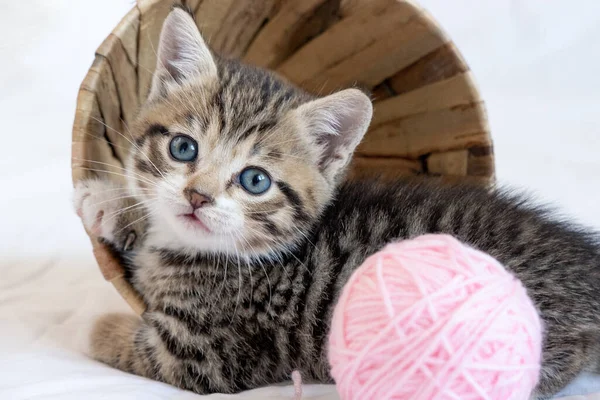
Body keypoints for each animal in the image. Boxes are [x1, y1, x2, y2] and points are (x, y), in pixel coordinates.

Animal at [75, 6, 600, 396]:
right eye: (183, 148)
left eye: (254, 180)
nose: (197, 196)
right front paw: (108, 202)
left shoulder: (206, 353)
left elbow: (121, 336)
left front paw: (86, 320)